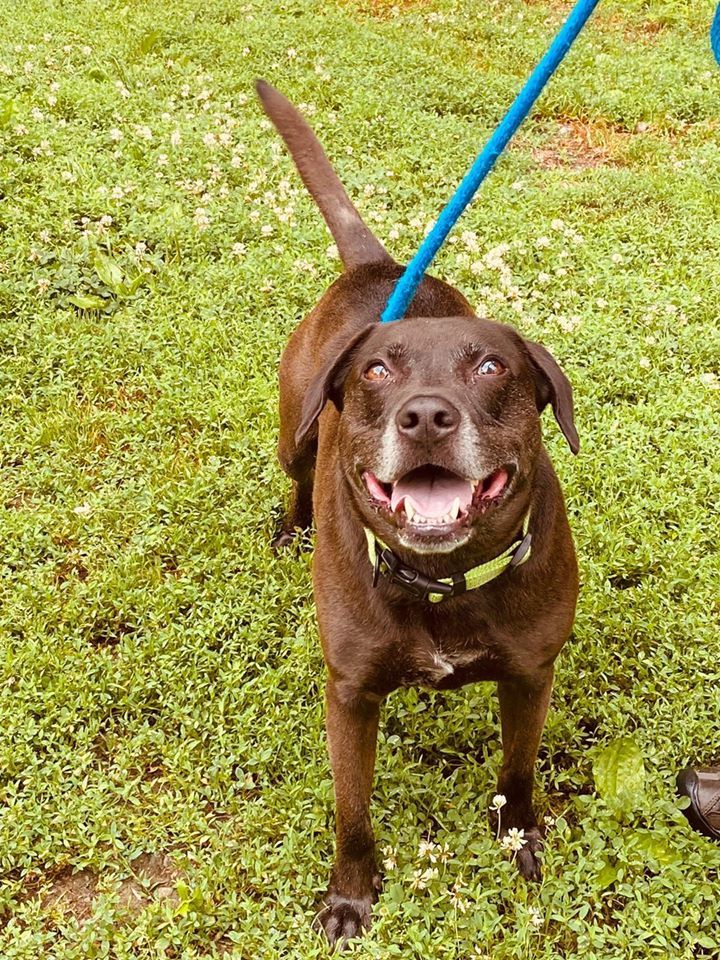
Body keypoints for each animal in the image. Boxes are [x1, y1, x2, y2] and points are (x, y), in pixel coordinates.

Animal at [258, 80, 580, 944]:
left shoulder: (530, 676)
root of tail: (378, 266)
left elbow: (516, 771)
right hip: (293, 434)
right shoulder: (349, 694)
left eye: (491, 366)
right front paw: (350, 893)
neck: (440, 581)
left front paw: (519, 835)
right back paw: (293, 525)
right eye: (377, 370)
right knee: (295, 472)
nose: (427, 416)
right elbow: (352, 812)